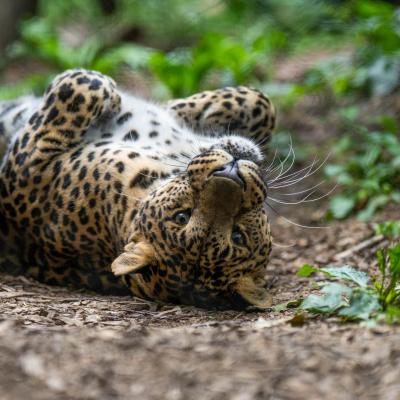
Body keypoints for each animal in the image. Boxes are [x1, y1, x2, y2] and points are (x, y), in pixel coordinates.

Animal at [0, 69, 276, 310]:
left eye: (237, 235)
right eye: (182, 217)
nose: (231, 173)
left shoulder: (27, 167)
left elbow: (82, 86)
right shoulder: (24, 168)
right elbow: (262, 102)